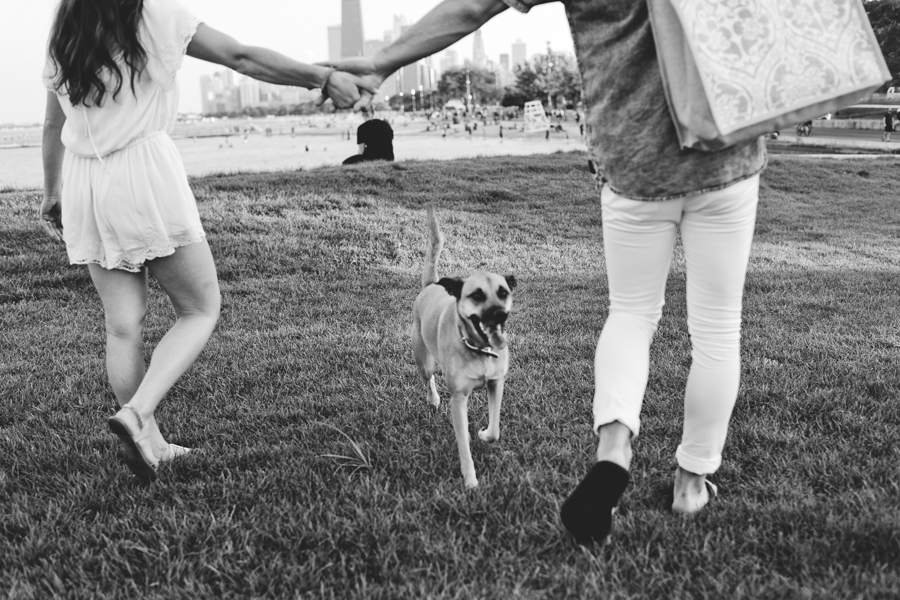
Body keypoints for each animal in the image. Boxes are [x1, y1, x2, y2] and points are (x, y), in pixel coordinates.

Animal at [412, 206, 516, 488]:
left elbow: (495, 429)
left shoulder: (496, 383)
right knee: (429, 378)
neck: (478, 350)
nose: (500, 315)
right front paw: (470, 480)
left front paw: (483, 434)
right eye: (477, 295)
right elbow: (463, 445)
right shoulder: (458, 398)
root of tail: (430, 286)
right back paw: (433, 399)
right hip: (423, 358)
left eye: (503, 292)